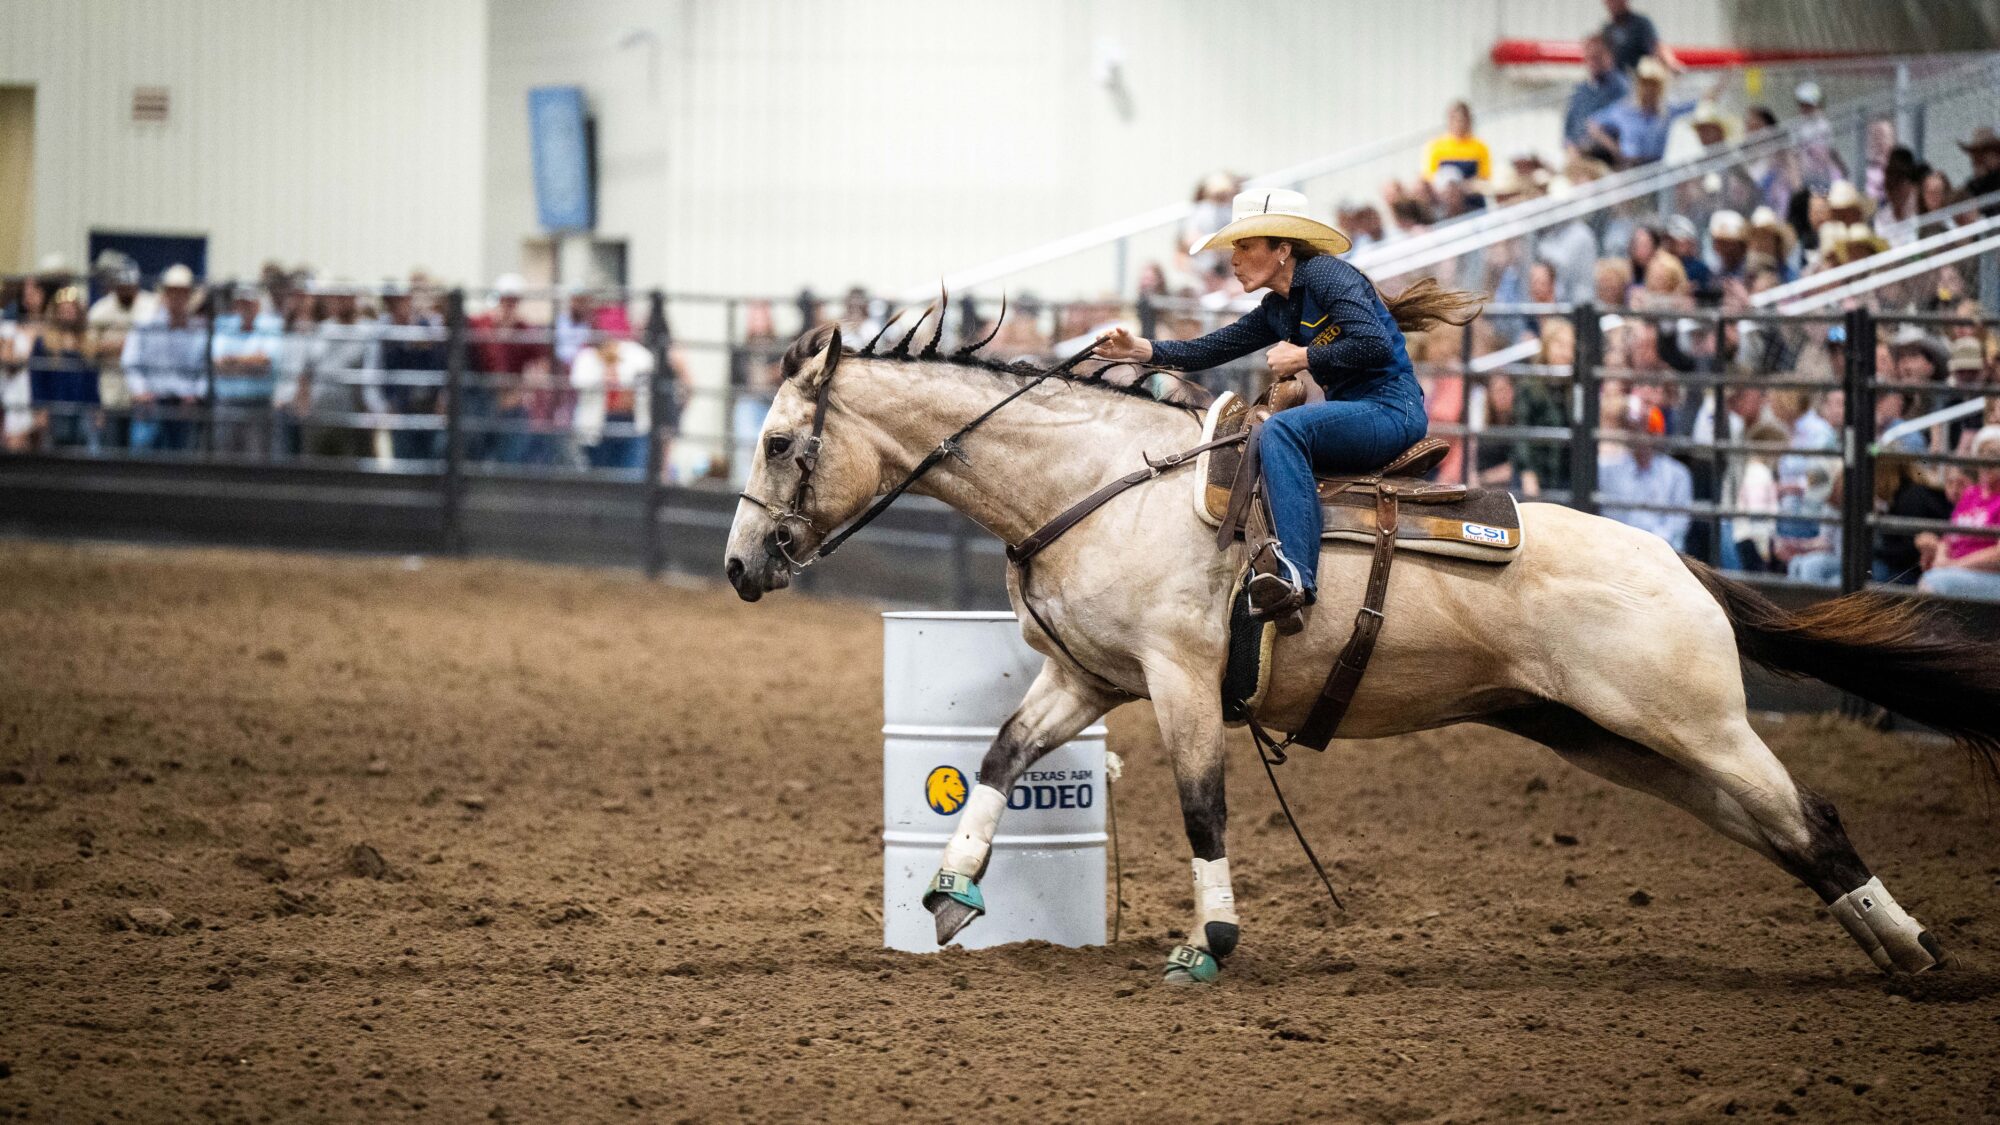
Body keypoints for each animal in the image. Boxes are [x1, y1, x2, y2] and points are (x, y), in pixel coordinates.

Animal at [724, 316, 2000, 984]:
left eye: (782, 439)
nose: (739, 568)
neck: (1095, 483)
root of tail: (1682, 566)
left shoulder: (1181, 681)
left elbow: (1200, 807)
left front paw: (1209, 942)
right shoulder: (1088, 677)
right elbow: (994, 757)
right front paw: (948, 893)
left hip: (1691, 722)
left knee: (1808, 816)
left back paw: (1913, 951)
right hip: (1614, 740)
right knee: (1779, 834)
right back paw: (1890, 947)